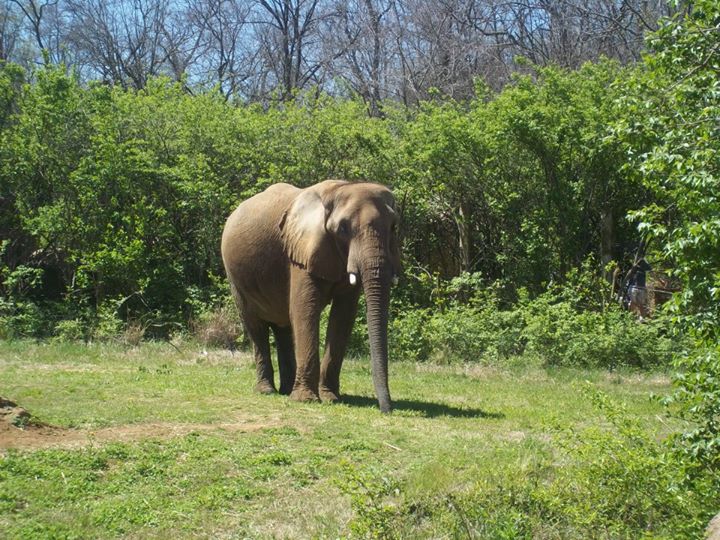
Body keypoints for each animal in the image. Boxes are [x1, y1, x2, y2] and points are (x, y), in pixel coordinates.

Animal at [221, 180, 401, 413]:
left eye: (394, 227)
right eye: (343, 229)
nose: (387, 409)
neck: (339, 189)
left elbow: (343, 316)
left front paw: (331, 398)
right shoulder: (301, 252)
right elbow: (305, 311)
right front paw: (306, 400)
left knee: (284, 327)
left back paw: (287, 389)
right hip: (235, 277)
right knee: (256, 326)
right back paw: (267, 391)